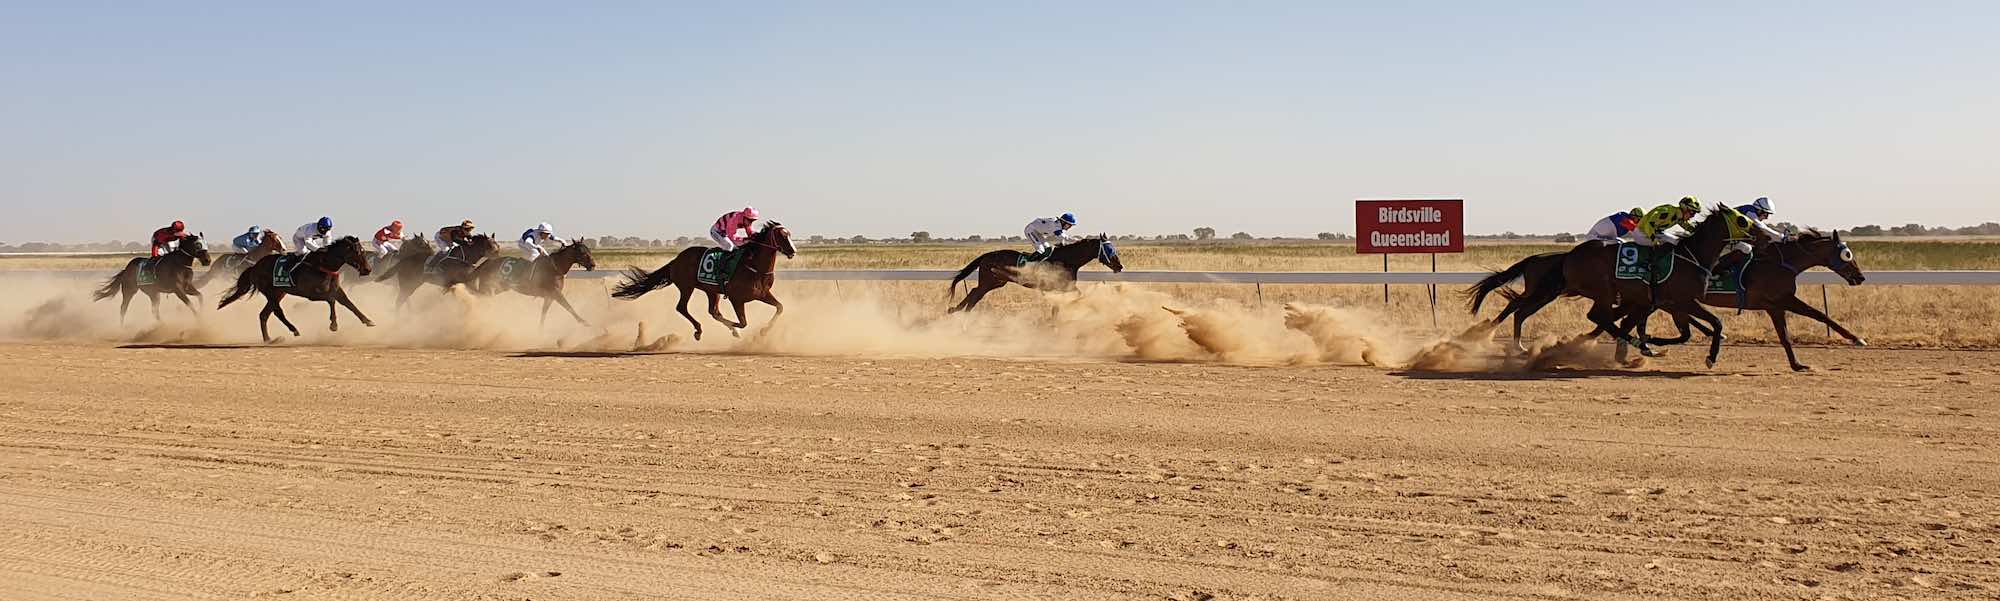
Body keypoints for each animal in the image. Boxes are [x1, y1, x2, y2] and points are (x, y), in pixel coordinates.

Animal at [216, 236, 376, 342]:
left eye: (363, 251)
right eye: (357, 252)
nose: (368, 270)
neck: (323, 265)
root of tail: (255, 266)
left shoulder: (336, 290)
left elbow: (349, 303)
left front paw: (368, 321)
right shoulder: (312, 294)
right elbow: (331, 300)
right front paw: (333, 325)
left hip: (279, 292)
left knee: (264, 314)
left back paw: (269, 339)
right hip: (270, 292)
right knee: (277, 312)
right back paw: (293, 330)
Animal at [608, 223, 796, 340]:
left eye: (789, 234)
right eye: (782, 235)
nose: (793, 251)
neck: (754, 267)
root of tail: (676, 260)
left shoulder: (763, 294)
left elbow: (780, 307)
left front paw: (763, 331)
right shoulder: (736, 298)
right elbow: (743, 323)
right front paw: (737, 328)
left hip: (711, 290)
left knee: (713, 311)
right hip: (687, 286)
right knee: (682, 308)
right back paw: (699, 330)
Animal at [940, 234, 1120, 312]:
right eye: (1109, 249)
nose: (1119, 266)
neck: (1067, 259)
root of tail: (988, 254)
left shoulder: (1063, 288)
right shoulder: (1062, 286)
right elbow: (1078, 296)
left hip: (996, 282)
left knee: (974, 293)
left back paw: (957, 310)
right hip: (989, 281)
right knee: (975, 293)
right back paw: (959, 311)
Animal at [1640, 230, 1872, 370]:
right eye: (1847, 255)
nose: (1860, 277)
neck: (1780, 263)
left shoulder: (1777, 305)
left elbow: (1787, 335)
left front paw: (1797, 365)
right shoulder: (1781, 300)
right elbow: (1818, 315)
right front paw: (1857, 339)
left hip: (1667, 302)